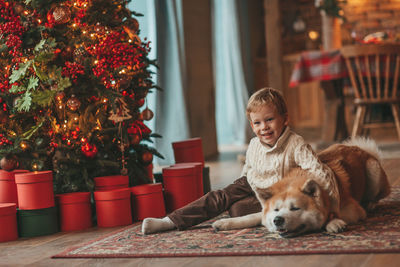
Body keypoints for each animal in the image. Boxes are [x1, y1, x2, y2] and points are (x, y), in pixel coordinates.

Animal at [212, 139, 390, 238]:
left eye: (295, 208)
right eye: (276, 210)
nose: (278, 220)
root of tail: (360, 149)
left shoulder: (354, 210)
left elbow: (332, 215)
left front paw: (333, 222)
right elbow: (252, 216)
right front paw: (225, 222)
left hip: (373, 170)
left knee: (377, 196)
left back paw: (371, 204)